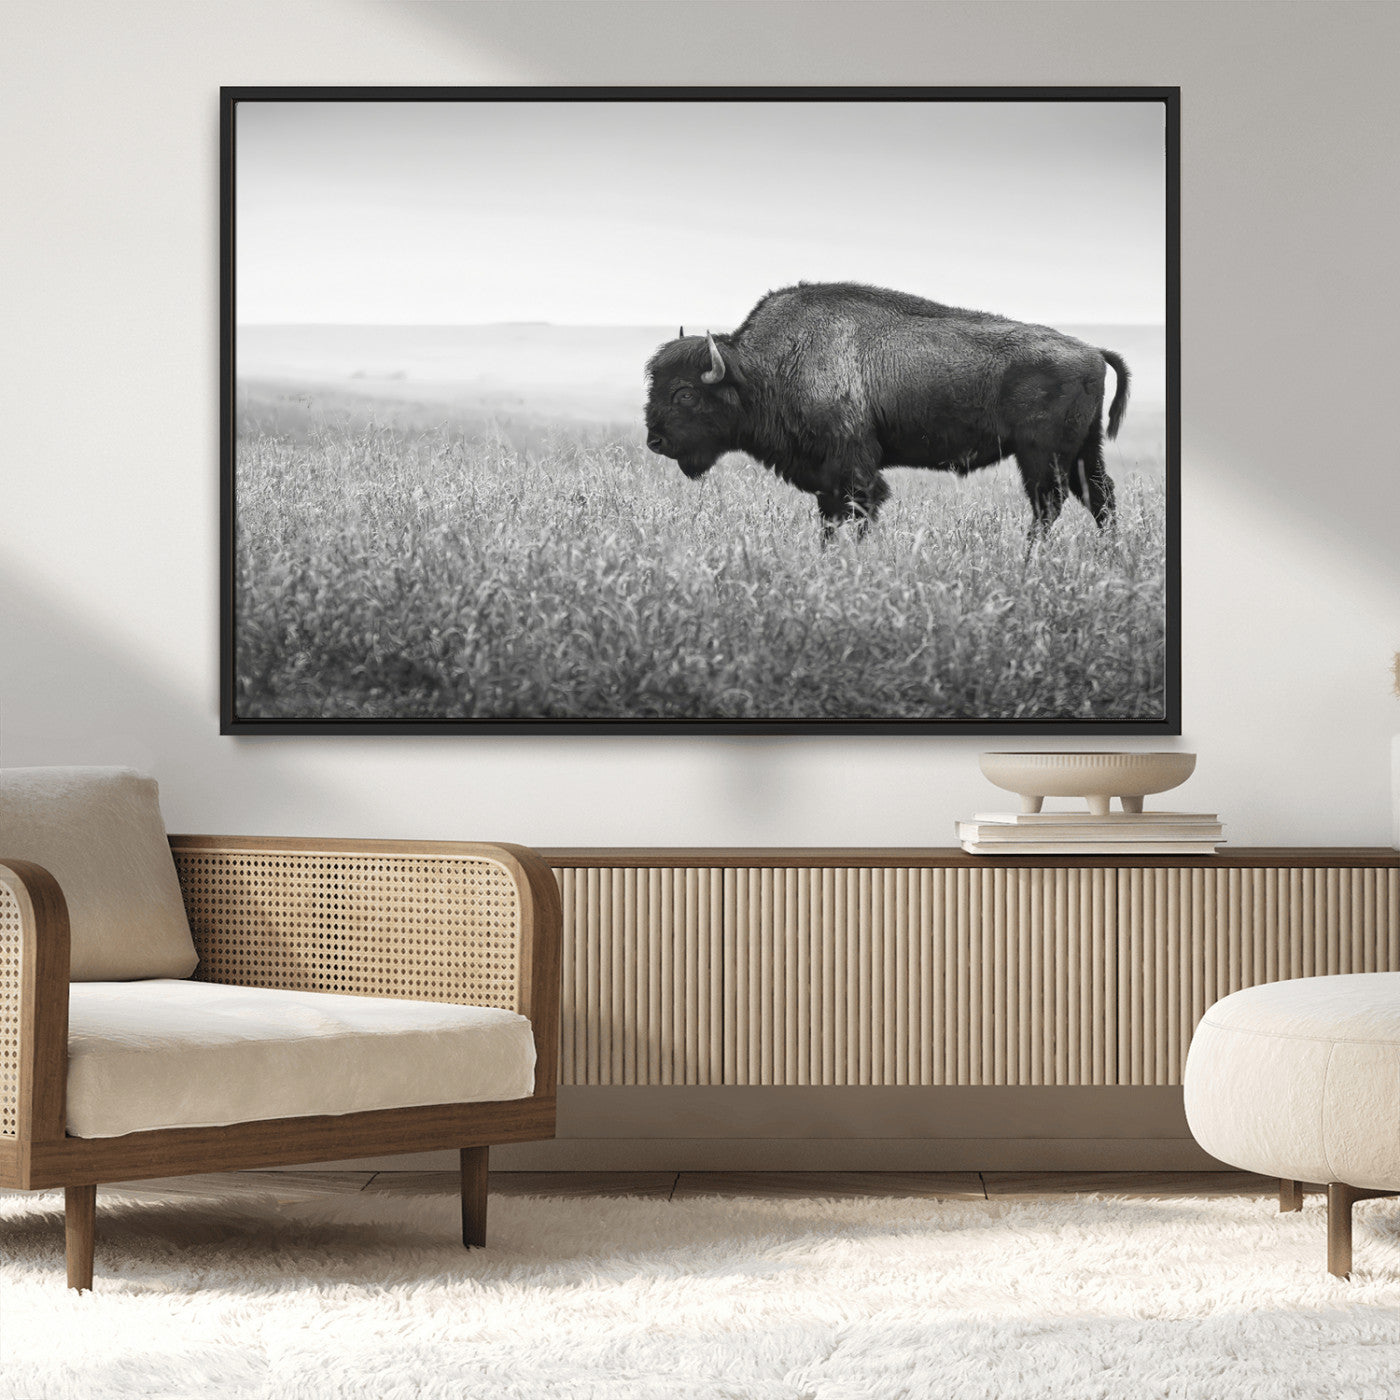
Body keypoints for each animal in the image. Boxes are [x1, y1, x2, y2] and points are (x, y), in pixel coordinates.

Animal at [644, 282, 1130, 540]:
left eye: (685, 393)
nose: (655, 441)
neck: (764, 368)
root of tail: (1092, 351)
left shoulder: (853, 467)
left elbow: (859, 510)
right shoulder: (825, 476)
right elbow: (830, 518)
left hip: (1041, 455)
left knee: (1049, 505)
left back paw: (1030, 560)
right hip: (1083, 450)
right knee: (1099, 498)